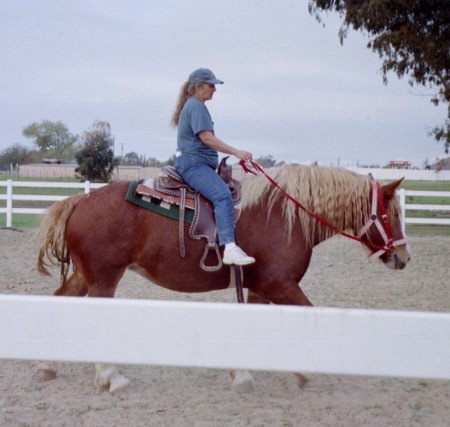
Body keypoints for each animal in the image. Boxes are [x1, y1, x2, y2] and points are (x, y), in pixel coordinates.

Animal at [37, 166, 412, 392]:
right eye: (390, 215)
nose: (404, 258)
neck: (286, 217)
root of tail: (80, 201)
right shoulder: (280, 285)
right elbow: (308, 316)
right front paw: (302, 370)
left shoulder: (260, 289)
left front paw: (242, 373)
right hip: (103, 279)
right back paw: (110, 377)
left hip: (86, 276)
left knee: (58, 301)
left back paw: (48, 366)